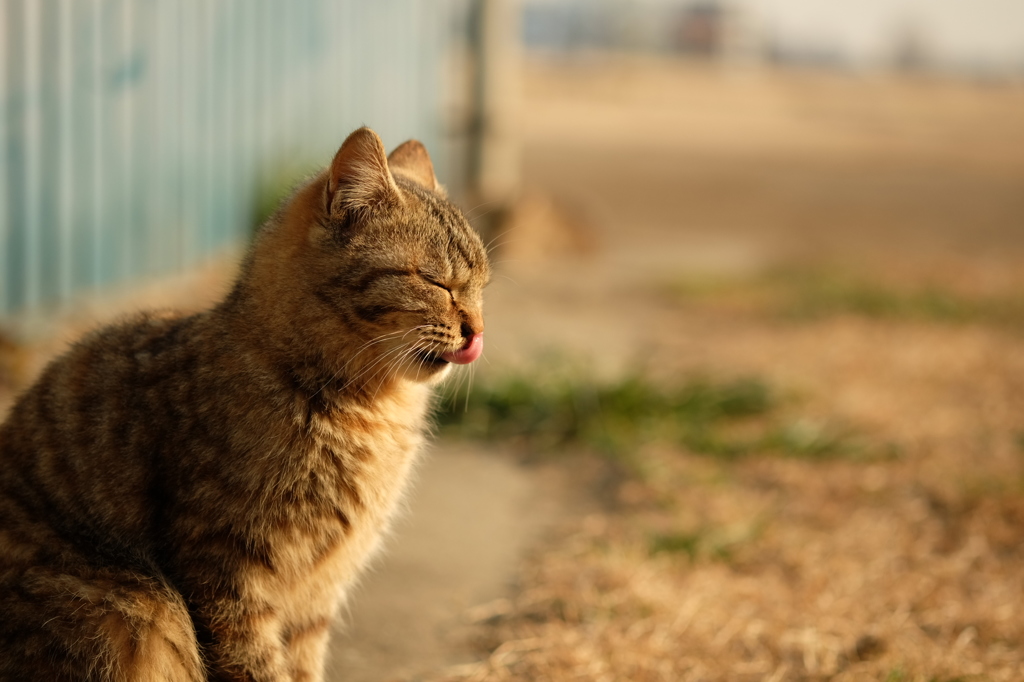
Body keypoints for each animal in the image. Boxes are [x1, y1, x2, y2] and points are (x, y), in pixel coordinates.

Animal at [0, 129, 491, 679]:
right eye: (437, 282)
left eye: (483, 287)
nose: (478, 330)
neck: (368, 409)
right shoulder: (225, 575)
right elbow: (257, 666)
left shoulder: (319, 593)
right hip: (137, 604)